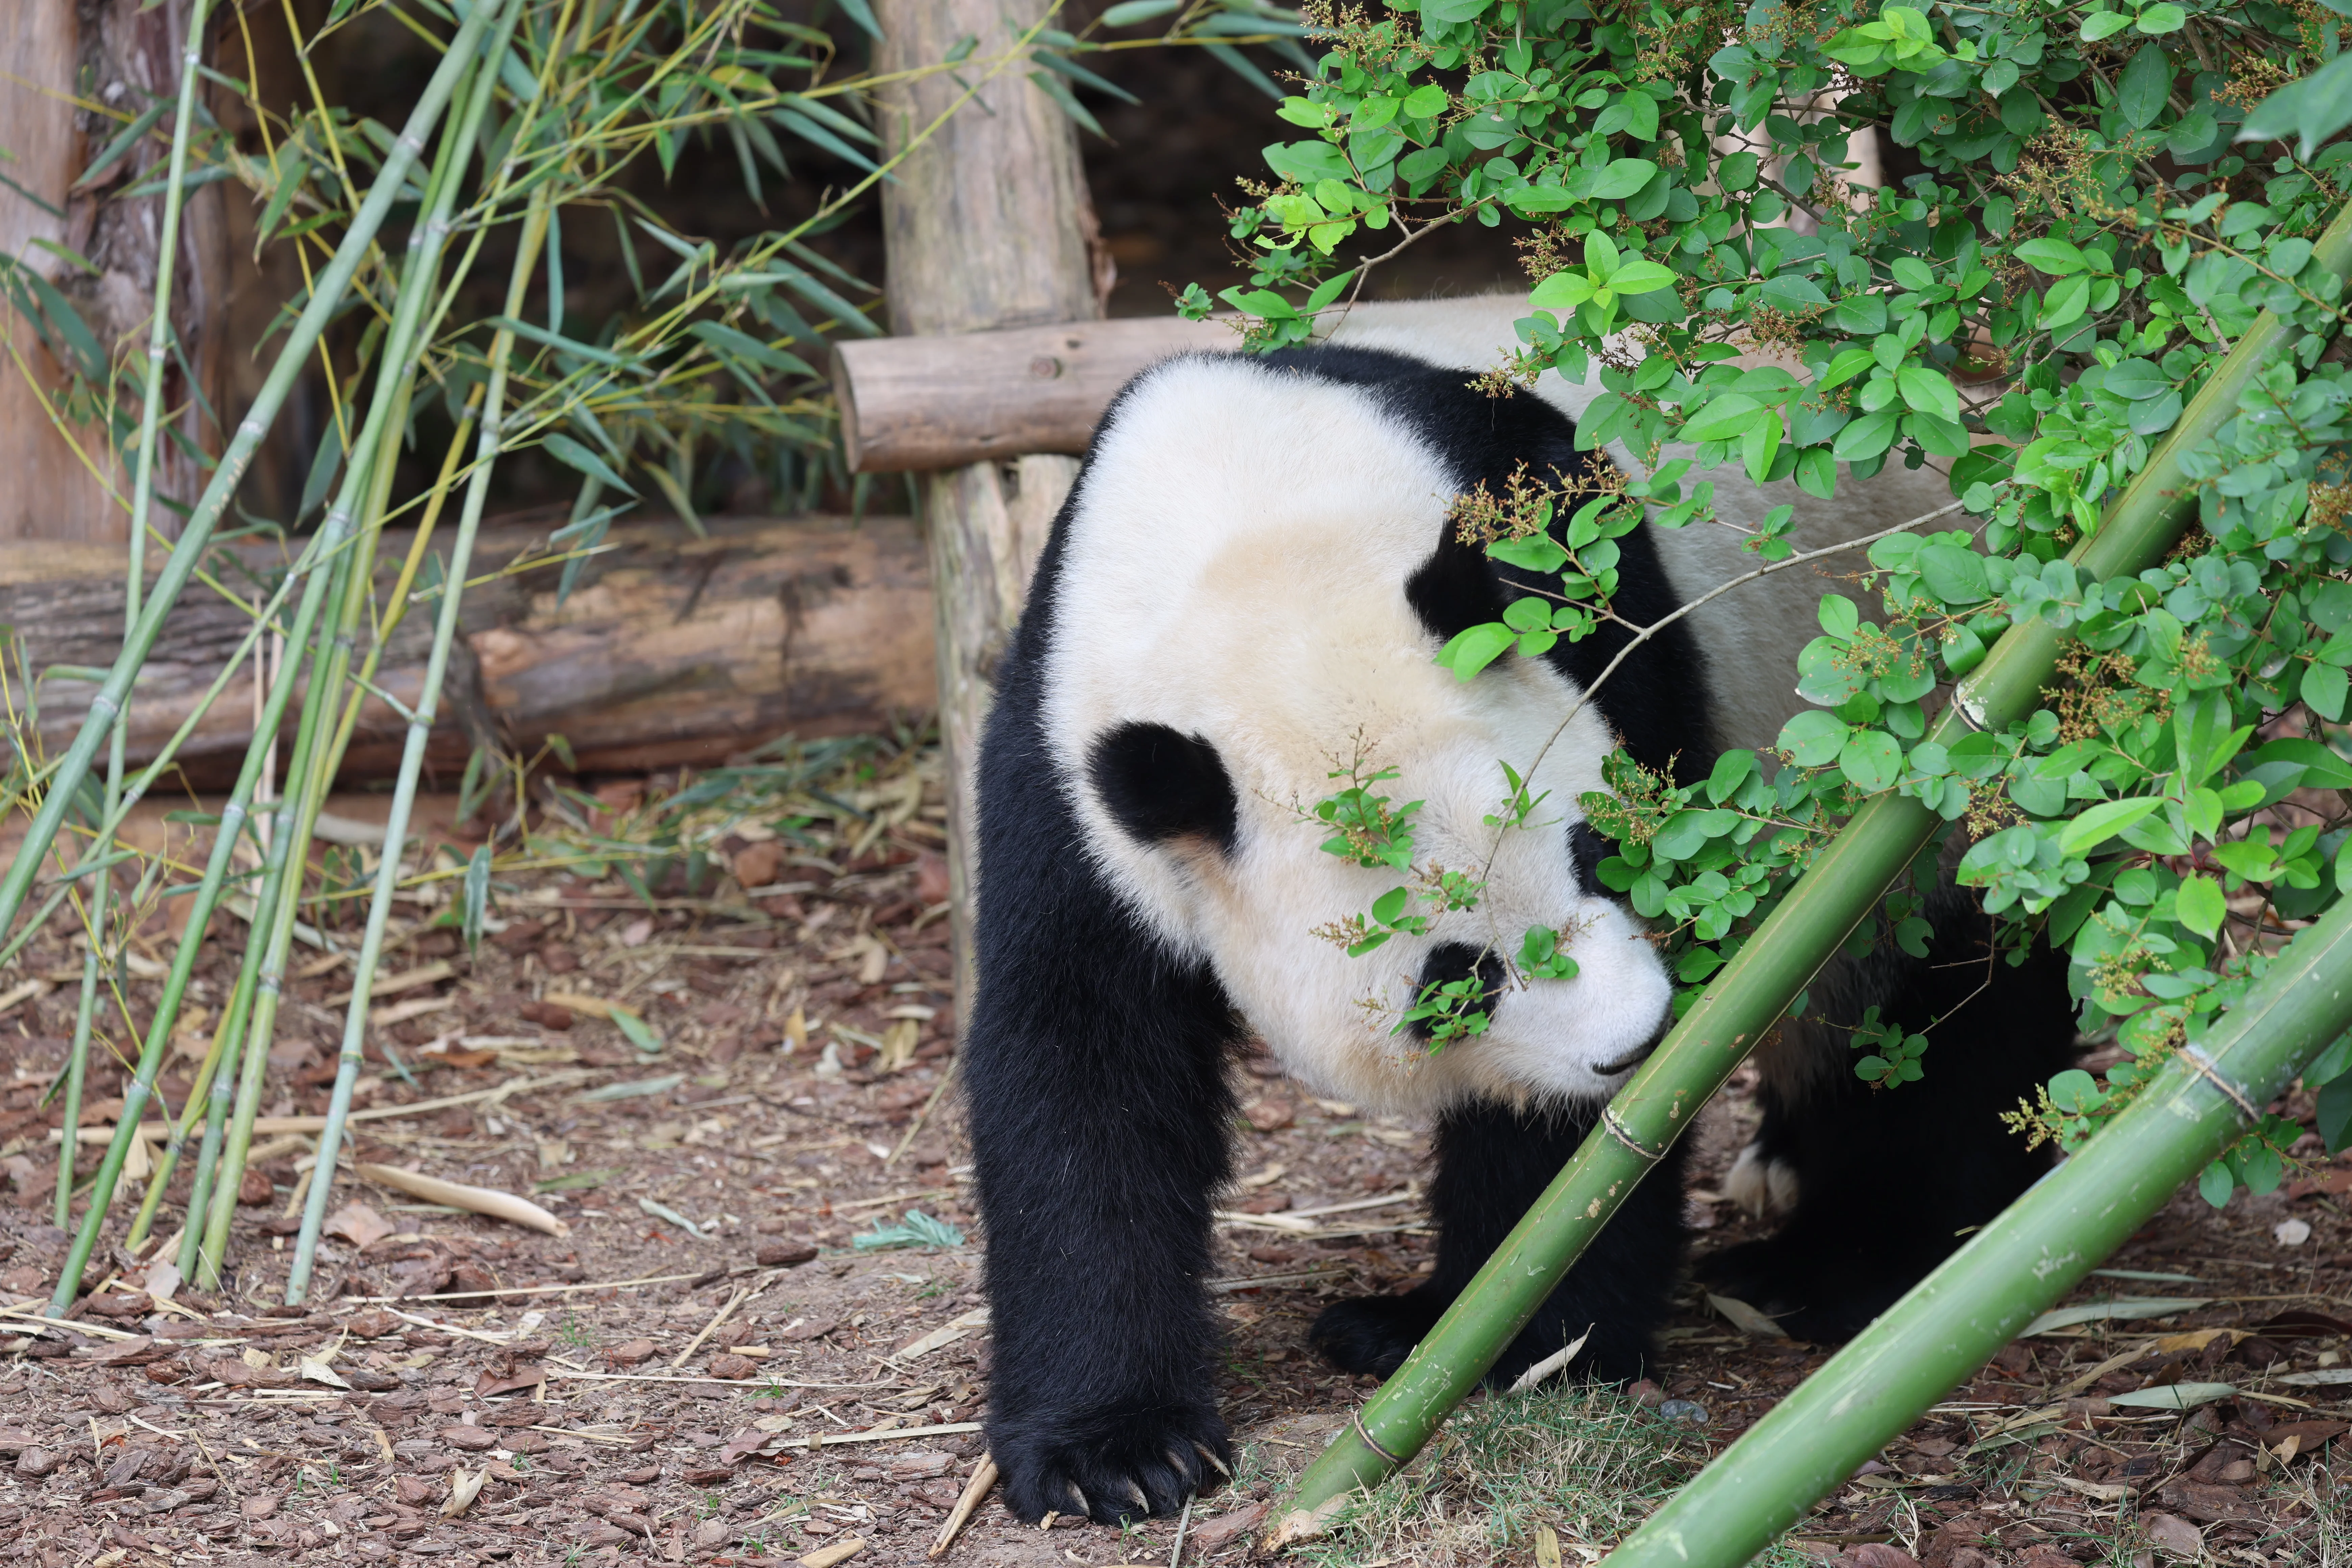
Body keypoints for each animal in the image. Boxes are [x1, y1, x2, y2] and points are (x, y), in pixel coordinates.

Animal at [963, 293, 2077, 1525]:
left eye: (1602, 856)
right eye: (1456, 978)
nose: (1635, 1047)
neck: (1258, 540)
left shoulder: (1588, 604)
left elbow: (1565, 1152)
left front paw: (1501, 1338)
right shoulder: (1076, 768)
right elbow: (1083, 1065)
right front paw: (1114, 1455)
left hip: (1934, 758)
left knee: (1938, 1011)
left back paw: (1835, 1261)